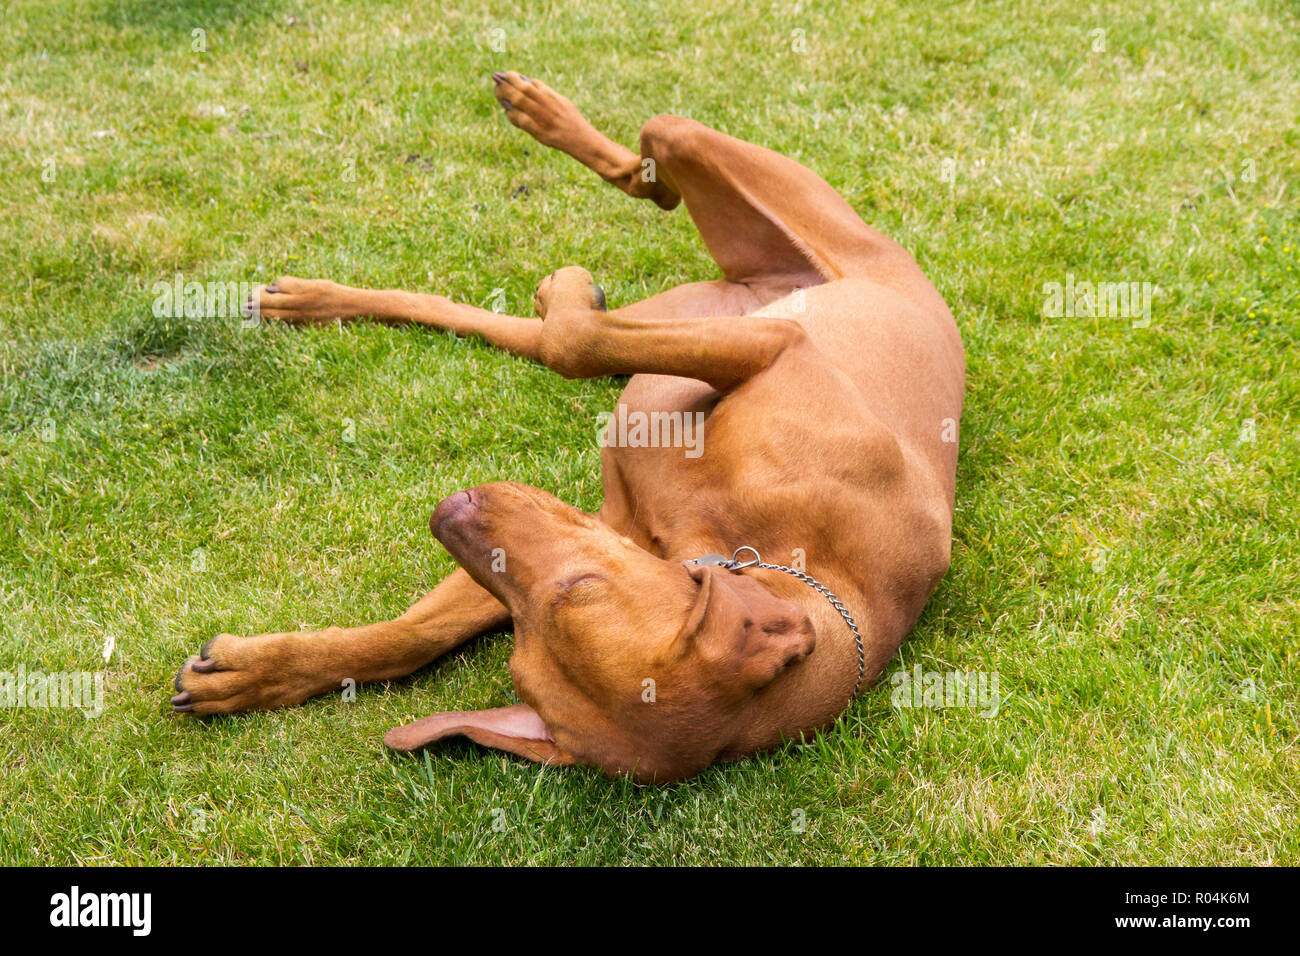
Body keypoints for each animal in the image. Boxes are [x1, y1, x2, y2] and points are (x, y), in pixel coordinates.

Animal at [170, 70, 967, 780]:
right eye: (584, 585)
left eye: (530, 647)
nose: (451, 512)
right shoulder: (778, 348)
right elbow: (576, 343)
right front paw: (262, 672)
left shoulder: (569, 530)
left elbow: (569, 344)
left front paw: (262, 672)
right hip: (730, 239)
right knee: (647, 173)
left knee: (535, 318)